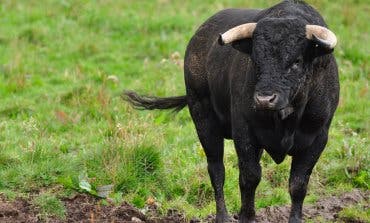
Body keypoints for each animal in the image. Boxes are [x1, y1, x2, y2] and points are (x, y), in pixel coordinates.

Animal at [123, 0, 338, 222]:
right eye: (255, 60)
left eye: (297, 61)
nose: (264, 99)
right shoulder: (243, 131)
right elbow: (250, 176)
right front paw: (247, 217)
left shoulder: (318, 138)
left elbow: (298, 184)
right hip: (203, 118)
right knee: (216, 169)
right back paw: (223, 216)